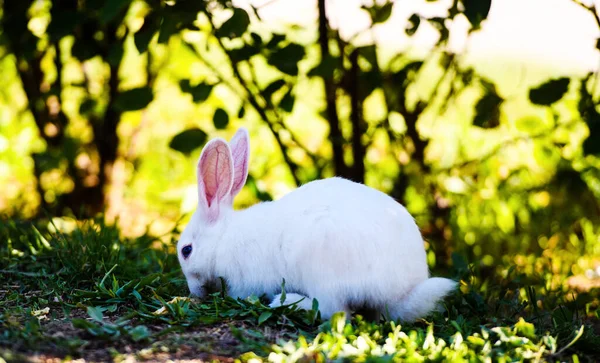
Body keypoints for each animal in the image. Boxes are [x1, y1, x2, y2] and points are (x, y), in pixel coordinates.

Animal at [176, 129, 458, 324]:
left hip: (322, 270)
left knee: (333, 310)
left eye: (186, 251)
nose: (195, 292)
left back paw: (286, 302)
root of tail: (401, 292)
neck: (222, 238)